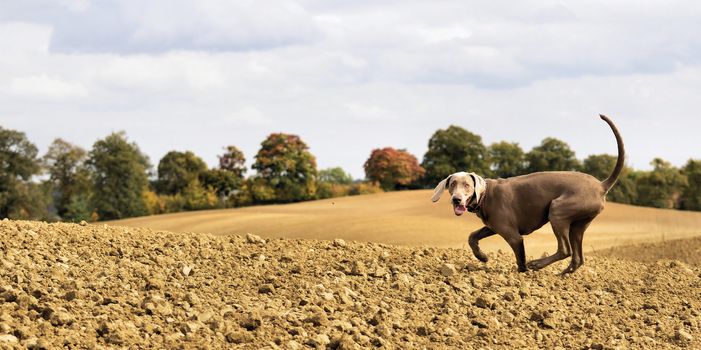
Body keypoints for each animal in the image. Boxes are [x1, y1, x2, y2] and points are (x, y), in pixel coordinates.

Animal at [432, 115, 624, 274]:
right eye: (452, 184)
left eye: (467, 185)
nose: (456, 199)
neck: (486, 196)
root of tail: (601, 185)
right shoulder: (493, 226)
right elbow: (472, 236)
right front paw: (482, 257)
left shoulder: (513, 236)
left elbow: (520, 261)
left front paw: (522, 273)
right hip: (578, 224)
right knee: (578, 258)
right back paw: (562, 274)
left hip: (557, 210)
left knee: (565, 250)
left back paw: (537, 264)